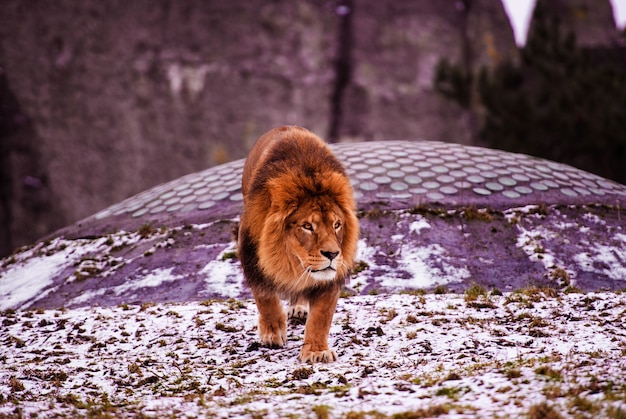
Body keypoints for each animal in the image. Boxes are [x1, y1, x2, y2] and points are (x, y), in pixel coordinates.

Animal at [238, 125, 358, 364]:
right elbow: (265, 297)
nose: (332, 254)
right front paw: (272, 332)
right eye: (307, 226)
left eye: (337, 224)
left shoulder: (330, 278)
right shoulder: (251, 254)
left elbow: (321, 316)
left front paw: (317, 351)